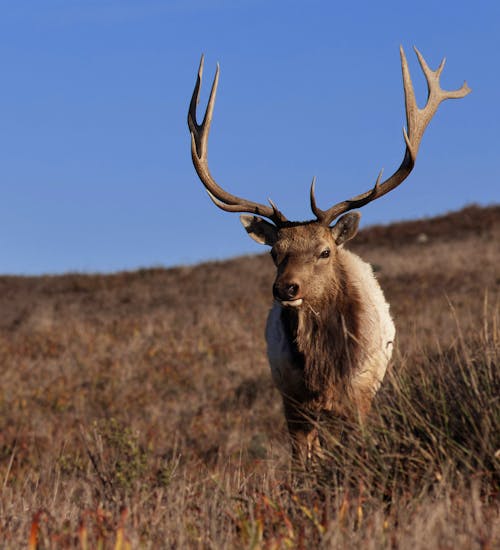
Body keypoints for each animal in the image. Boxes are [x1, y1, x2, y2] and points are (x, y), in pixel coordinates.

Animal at [188, 48, 468, 470]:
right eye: (275, 252)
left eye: (324, 251)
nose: (285, 288)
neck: (324, 372)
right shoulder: (293, 402)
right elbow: (302, 464)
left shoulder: (360, 396)